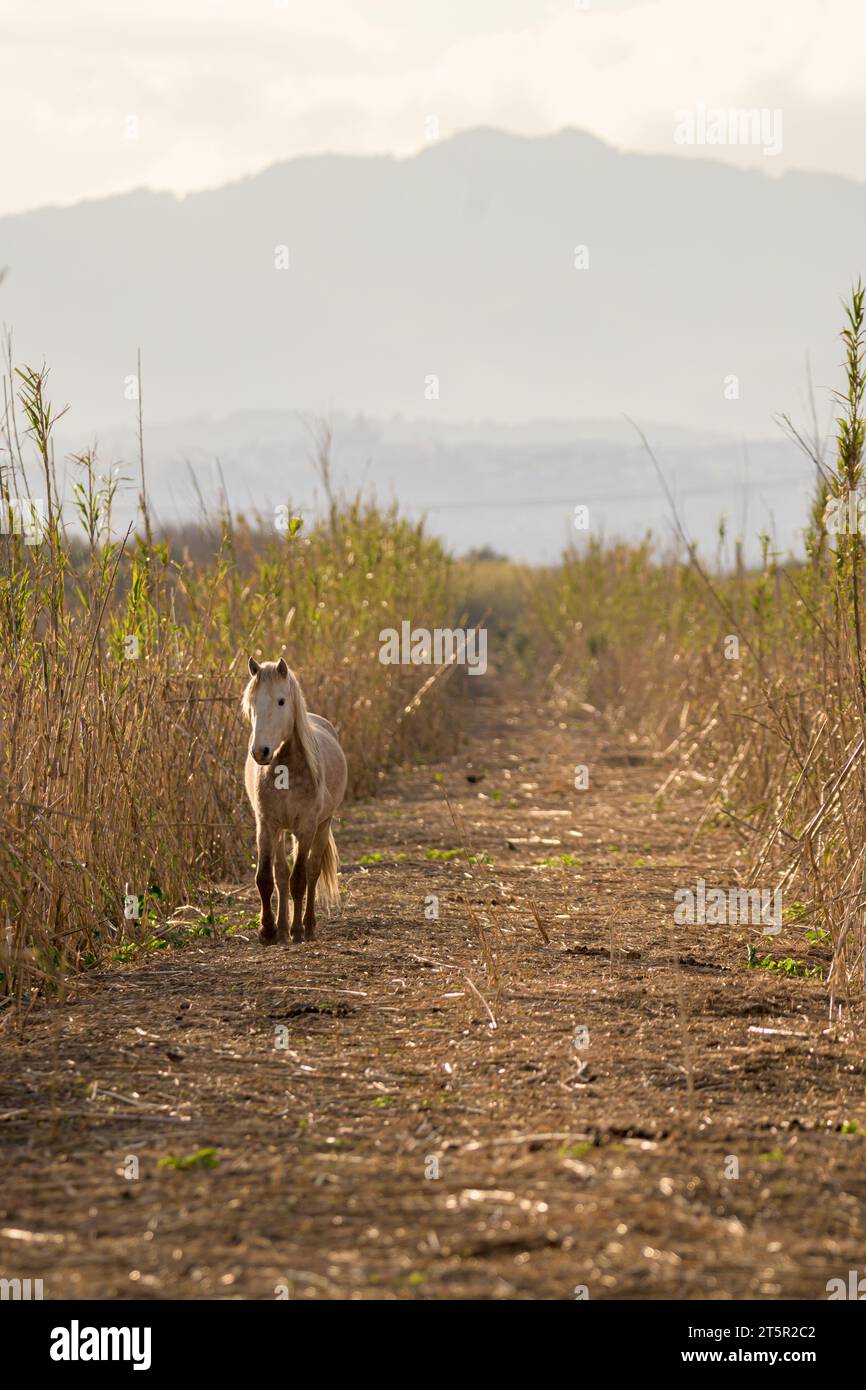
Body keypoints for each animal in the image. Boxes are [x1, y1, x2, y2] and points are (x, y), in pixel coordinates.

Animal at [241, 653, 347, 939]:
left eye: (281, 700)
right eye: (252, 703)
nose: (260, 752)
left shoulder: (306, 827)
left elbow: (299, 878)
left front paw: (297, 929)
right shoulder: (266, 826)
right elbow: (266, 878)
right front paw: (268, 930)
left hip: (322, 825)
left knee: (312, 871)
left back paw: (307, 925)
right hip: (281, 832)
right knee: (280, 874)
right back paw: (281, 929)